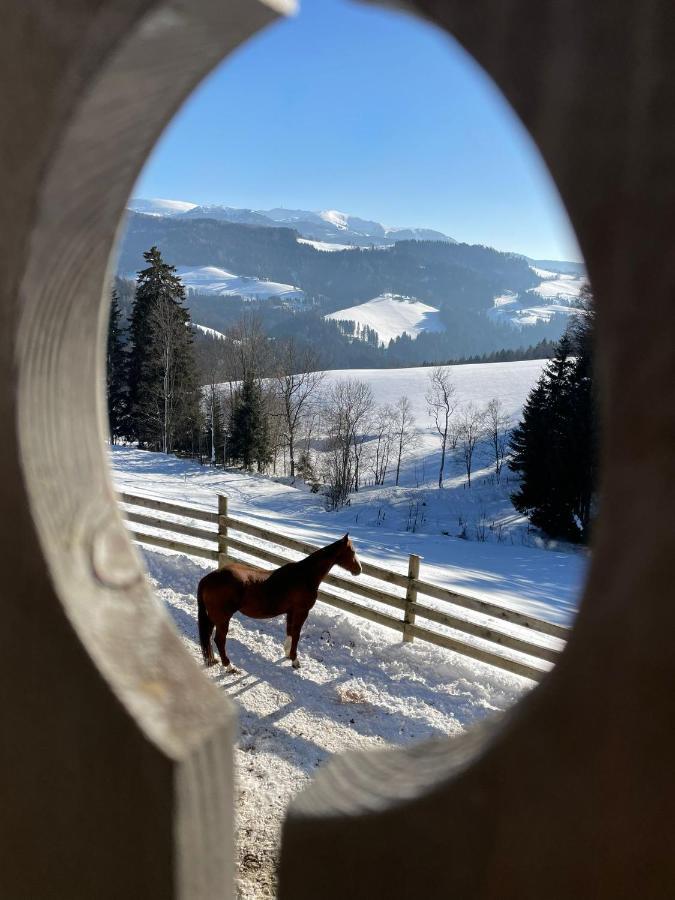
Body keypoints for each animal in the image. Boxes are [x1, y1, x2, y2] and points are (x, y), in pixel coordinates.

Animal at [197, 536, 362, 668]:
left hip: (214, 617)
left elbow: (289, 632)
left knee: (209, 635)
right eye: (352, 552)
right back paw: (229, 666)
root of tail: (208, 578)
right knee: (219, 640)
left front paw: (288, 654)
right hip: (223, 618)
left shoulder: (291, 612)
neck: (305, 575)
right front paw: (295, 661)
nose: (359, 570)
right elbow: (296, 634)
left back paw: (214, 659)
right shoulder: (301, 612)